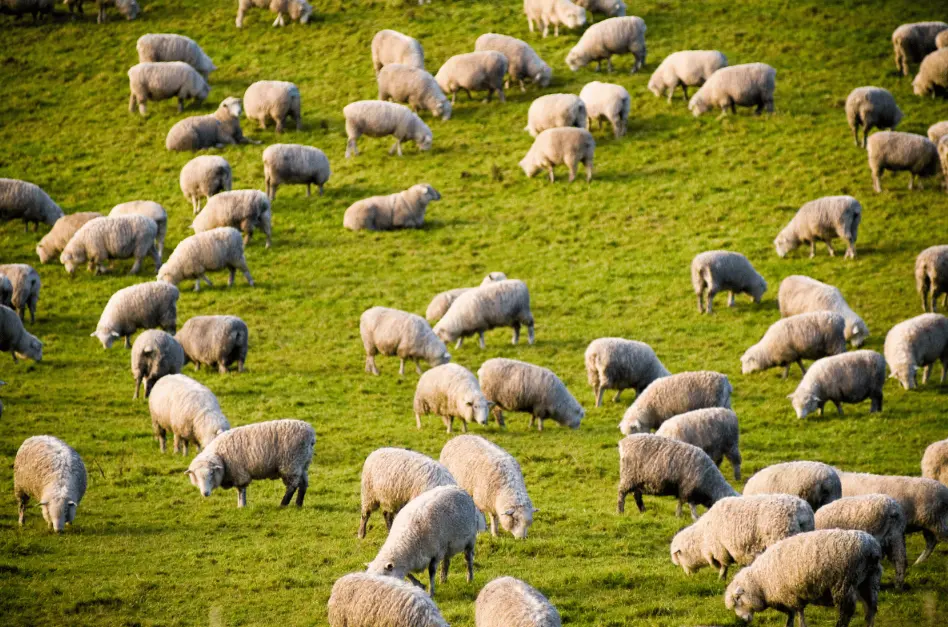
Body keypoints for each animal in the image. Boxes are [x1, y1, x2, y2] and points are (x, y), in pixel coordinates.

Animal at [671, 495, 815, 580]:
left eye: (680, 559)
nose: (688, 576)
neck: (701, 538)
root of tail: (802, 511)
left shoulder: (720, 550)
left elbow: (723, 566)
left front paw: (721, 579)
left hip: (782, 537)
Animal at [724, 529, 881, 627]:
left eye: (737, 599)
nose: (744, 620)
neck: (760, 583)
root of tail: (872, 548)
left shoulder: (791, 596)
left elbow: (798, 614)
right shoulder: (785, 597)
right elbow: (791, 615)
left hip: (844, 583)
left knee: (846, 613)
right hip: (869, 581)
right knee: (871, 609)